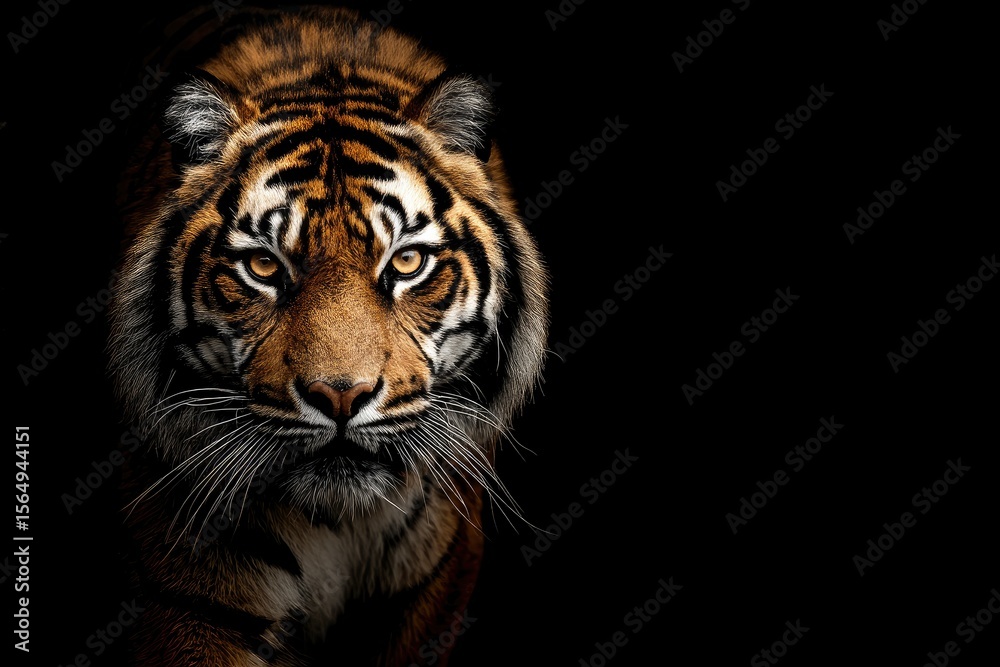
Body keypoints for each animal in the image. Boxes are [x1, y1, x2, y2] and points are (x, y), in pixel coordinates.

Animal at [106, 6, 549, 665]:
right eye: (264, 267)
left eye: (406, 262)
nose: (340, 396)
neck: (334, 521)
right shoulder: (187, 605)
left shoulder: (427, 594)